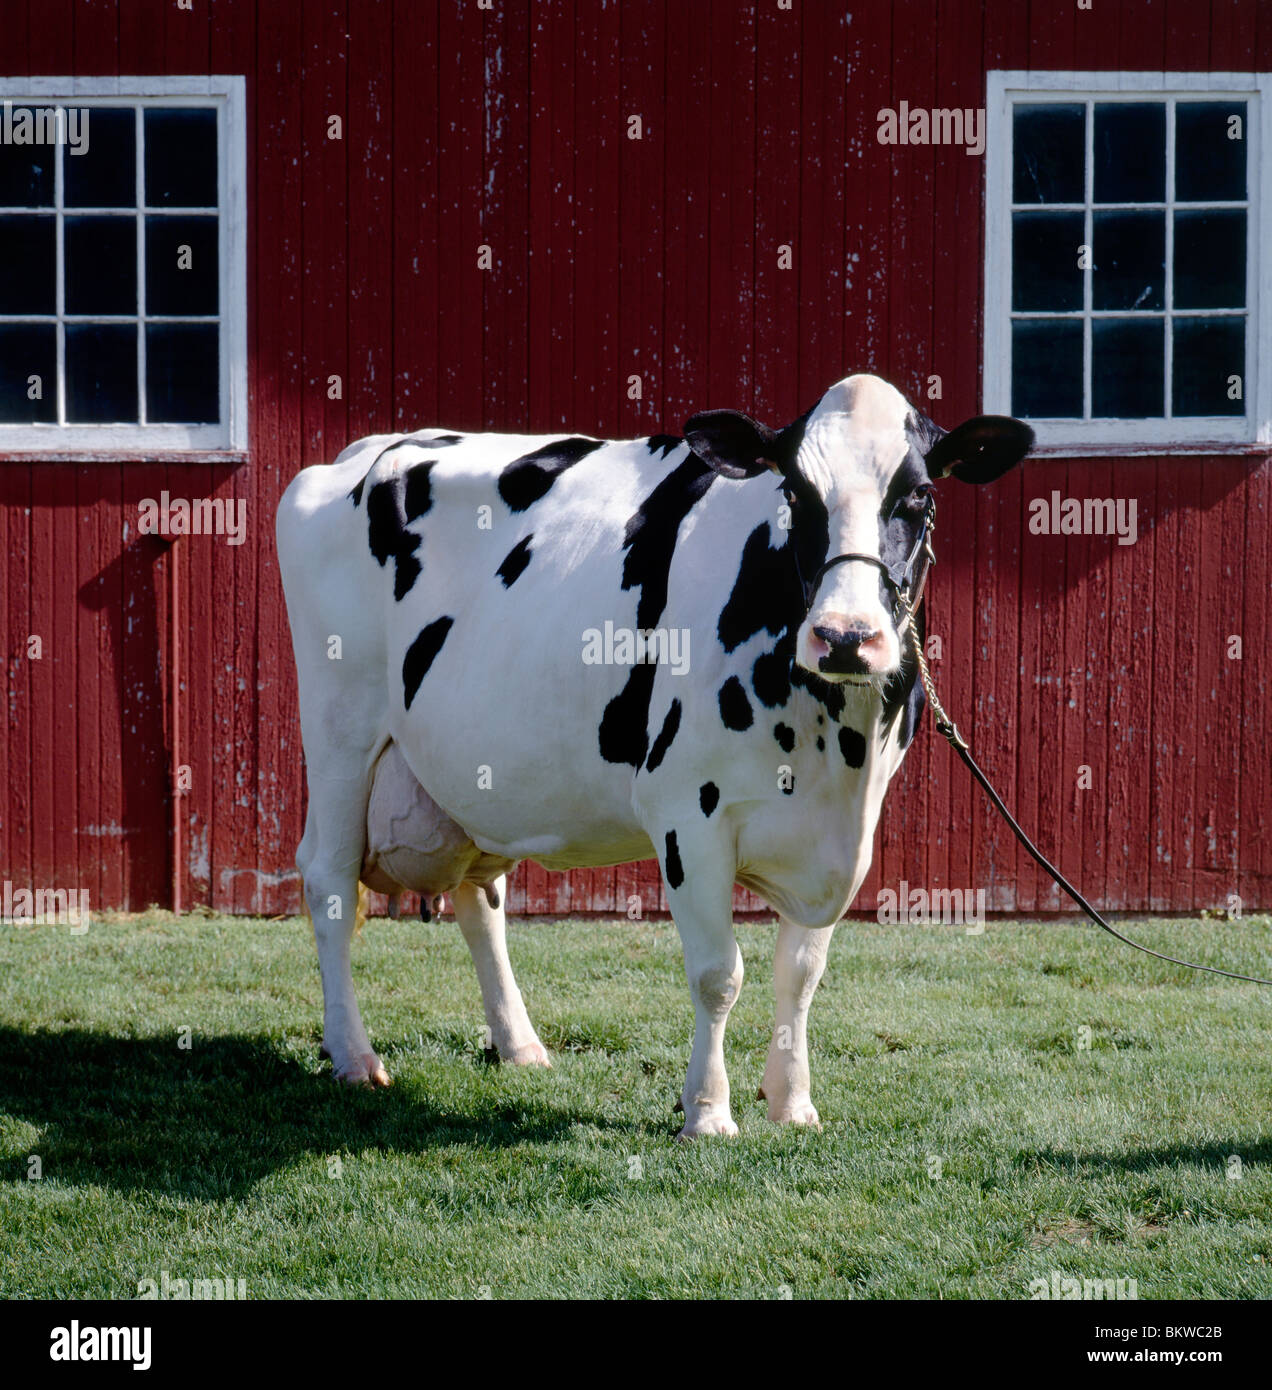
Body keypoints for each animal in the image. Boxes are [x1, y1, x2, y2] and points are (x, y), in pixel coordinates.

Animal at [275, 374, 1032, 1137]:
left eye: (920, 496)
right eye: (793, 491)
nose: (845, 636)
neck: (837, 752)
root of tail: (365, 450)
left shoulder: (845, 831)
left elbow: (801, 971)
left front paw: (792, 1103)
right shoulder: (686, 811)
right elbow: (719, 973)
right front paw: (707, 1111)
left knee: (480, 898)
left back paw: (519, 1045)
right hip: (341, 731)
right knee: (330, 881)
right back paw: (354, 1056)